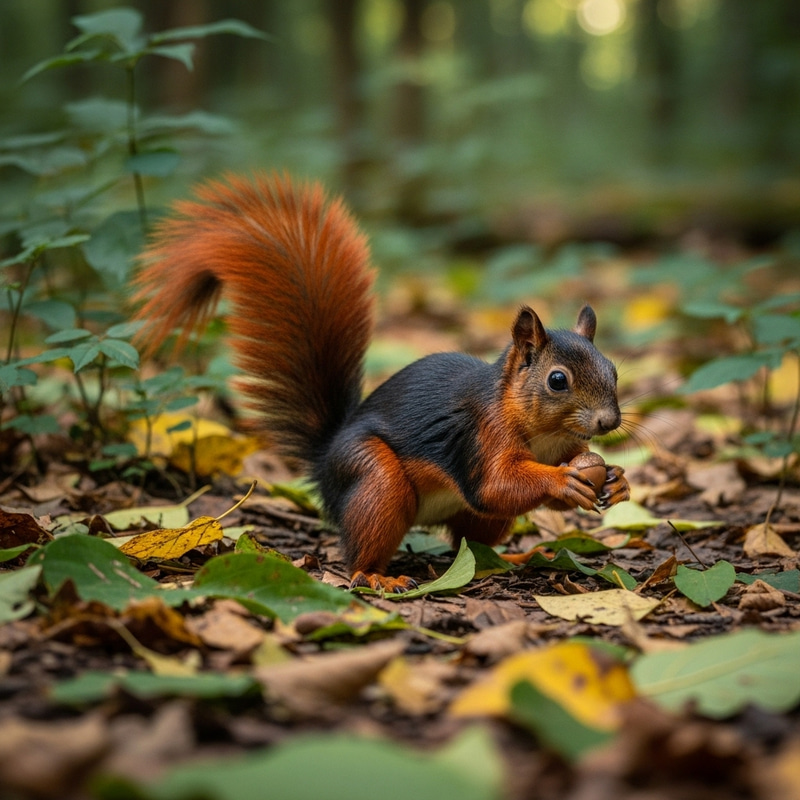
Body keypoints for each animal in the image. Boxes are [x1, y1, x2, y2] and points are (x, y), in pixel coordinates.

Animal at [133, 173, 630, 592]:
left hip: (471, 520)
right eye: (557, 380)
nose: (608, 422)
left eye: (614, 370)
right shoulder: (479, 437)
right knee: (367, 543)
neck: (540, 432)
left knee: (467, 544)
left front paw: (618, 481)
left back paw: (511, 560)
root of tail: (324, 462)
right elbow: (495, 486)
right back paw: (376, 576)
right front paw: (563, 480)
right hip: (374, 480)